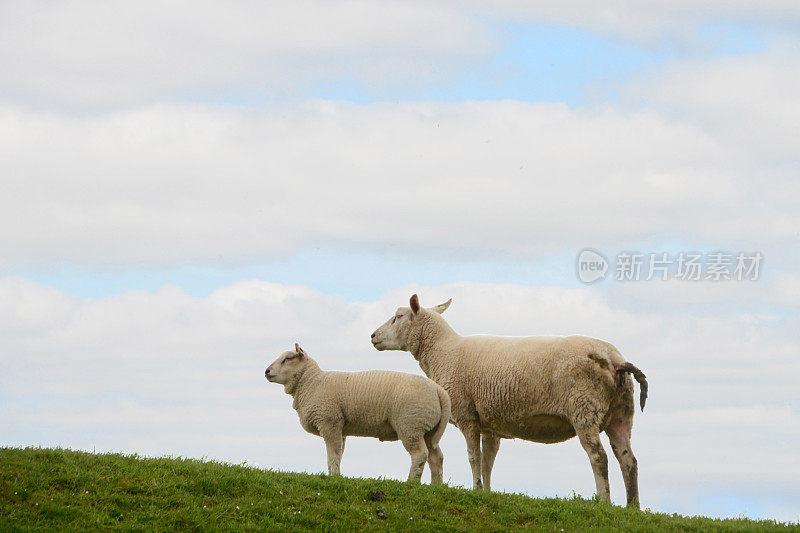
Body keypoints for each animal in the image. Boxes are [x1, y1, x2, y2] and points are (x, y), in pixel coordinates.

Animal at [266, 342, 454, 484]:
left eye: (288, 358)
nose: (266, 371)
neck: (312, 382)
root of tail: (439, 391)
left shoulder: (329, 422)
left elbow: (333, 454)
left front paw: (335, 477)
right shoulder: (339, 426)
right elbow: (338, 453)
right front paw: (333, 475)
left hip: (411, 424)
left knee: (420, 454)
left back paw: (411, 482)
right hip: (428, 429)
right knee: (436, 456)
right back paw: (436, 486)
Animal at [372, 296, 648, 508]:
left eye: (398, 315)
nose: (373, 336)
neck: (444, 352)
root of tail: (615, 360)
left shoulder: (466, 413)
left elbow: (473, 457)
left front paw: (475, 489)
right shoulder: (490, 423)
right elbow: (488, 460)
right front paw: (486, 493)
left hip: (584, 408)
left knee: (598, 456)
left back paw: (604, 503)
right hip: (621, 414)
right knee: (628, 460)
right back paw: (632, 508)